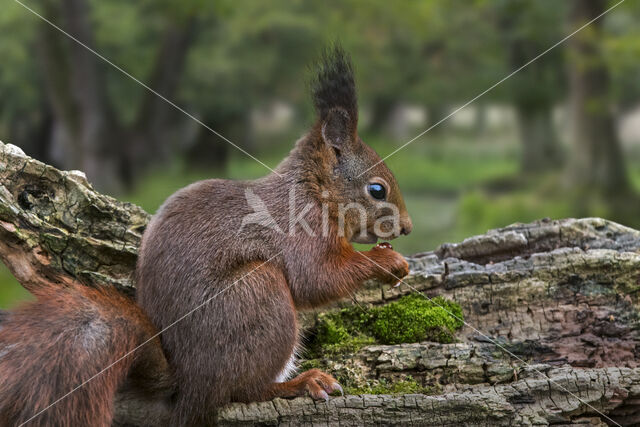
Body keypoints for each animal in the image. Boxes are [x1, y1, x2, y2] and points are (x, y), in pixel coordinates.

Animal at [0, 45, 410, 426]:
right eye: (377, 190)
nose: (406, 227)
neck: (313, 193)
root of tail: (189, 385)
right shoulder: (299, 233)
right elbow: (318, 279)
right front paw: (388, 261)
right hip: (258, 293)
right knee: (244, 390)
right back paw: (300, 383)